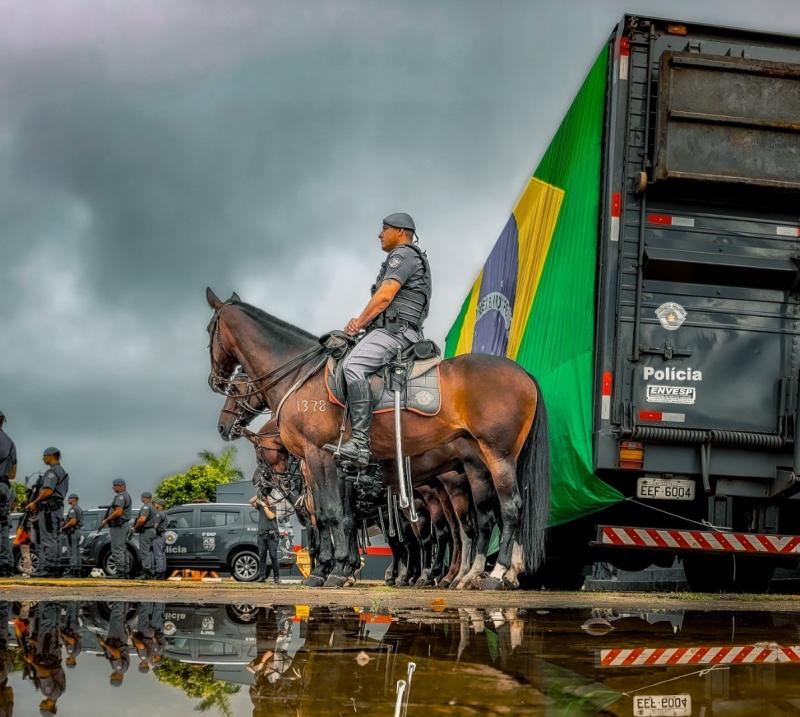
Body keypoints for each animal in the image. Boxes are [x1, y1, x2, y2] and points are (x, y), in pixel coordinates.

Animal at [205, 290, 552, 588]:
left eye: (238, 386)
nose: (222, 425)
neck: (301, 376)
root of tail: (523, 373)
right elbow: (334, 520)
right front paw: (332, 570)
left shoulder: (320, 456)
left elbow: (333, 516)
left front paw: (335, 570)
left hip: (492, 459)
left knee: (501, 512)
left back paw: (493, 573)